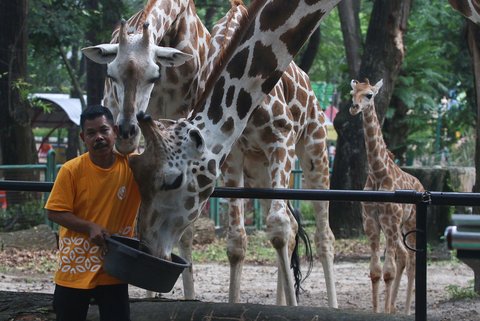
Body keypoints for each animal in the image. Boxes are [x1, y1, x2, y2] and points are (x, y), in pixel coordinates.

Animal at [82, 0, 338, 306]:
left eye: (171, 181)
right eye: (111, 75)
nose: (147, 247)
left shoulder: (281, 137)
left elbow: (277, 226)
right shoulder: (233, 156)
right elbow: (238, 240)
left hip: (314, 147)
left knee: (321, 233)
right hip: (259, 169)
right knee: (291, 226)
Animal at [348, 79, 424, 314]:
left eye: (369, 95)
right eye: (352, 93)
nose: (354, 108)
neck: (377, 173)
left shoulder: (390, 221)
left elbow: (388, 272)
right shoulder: (371, 222)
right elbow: (375, 271)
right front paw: (377, 311)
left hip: (409, 224)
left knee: (412, 261)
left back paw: (406, 310)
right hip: (397, 229)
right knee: (404, 256)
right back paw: (391, 307)